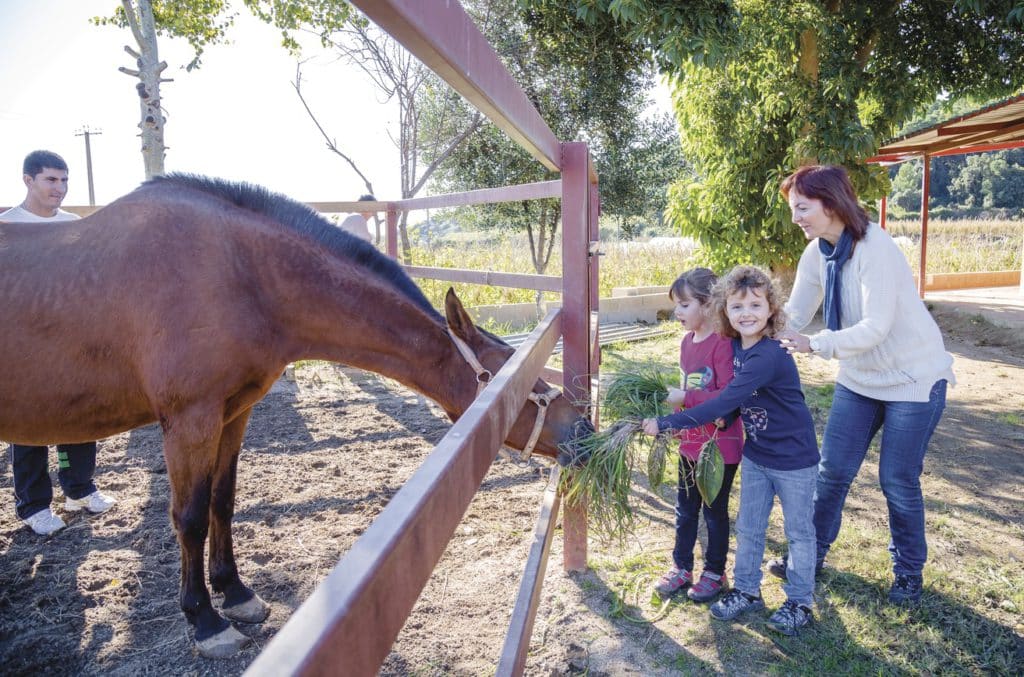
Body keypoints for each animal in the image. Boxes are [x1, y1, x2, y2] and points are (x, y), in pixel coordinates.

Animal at [0, 173, 593, 655]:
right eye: (522, 376)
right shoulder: (190, 419)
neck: (237, 273)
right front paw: (206, 621)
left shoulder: (233, 412)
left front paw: (236, 594)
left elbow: (222, 502)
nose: (584, 429)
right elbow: (188, 518)